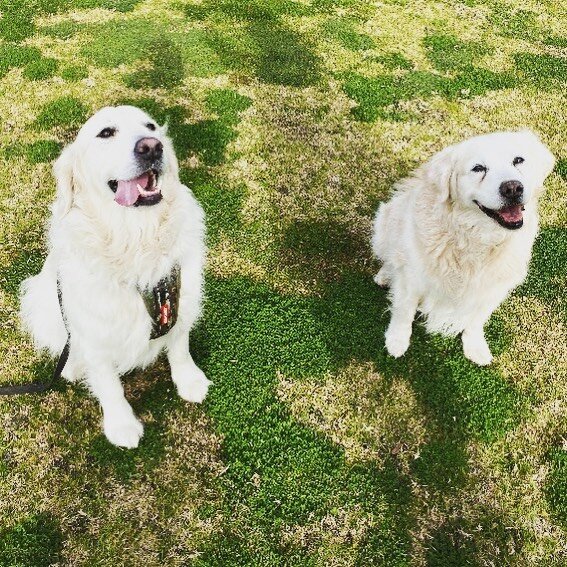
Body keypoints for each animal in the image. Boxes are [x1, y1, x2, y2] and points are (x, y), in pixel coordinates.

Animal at [20, 107, 212, 448]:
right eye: (106, 133)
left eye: (150, 127)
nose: (151, 147)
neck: (136, 237)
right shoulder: (93, 330)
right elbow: (109, 384)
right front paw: (121, 424)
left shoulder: (181, 300)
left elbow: (180, 347)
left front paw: (189, 380)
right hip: (41, 299)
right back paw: (72, 367)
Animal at [372, 131, 556, 366]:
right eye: (478, 168)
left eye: (518, 160)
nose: (513, 188)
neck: (478, 238)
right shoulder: (412, 279)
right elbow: (403, 311)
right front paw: (396, 341)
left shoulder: (493, 289)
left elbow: (477, 320)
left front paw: (475, 346)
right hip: (384, 222)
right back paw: (385, 274)